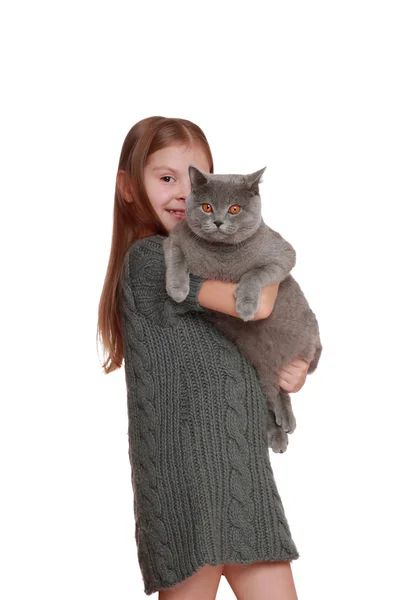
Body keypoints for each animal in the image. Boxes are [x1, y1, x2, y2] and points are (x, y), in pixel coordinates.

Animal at [162, 166, 322, 452]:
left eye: (234, 209)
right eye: (206, 206)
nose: (217, 221)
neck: (222, 256)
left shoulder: (283, 255)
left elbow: (254, 273)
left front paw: (246, 306)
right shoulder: (174, 239)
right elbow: (178, 257)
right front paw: (178, 289)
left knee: (280, 390)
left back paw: (285, 422)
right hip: (259, 365)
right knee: (272, 394)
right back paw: (278, 431)